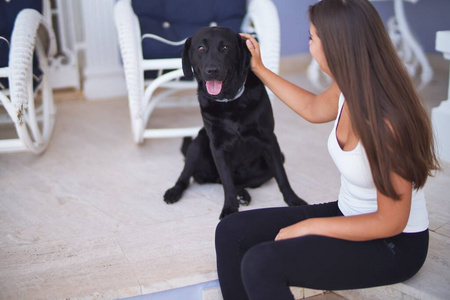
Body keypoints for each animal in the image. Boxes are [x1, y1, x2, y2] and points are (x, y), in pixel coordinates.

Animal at [163, 27, 308, 219]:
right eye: (201, 48)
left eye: (226, 47)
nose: (212, 70)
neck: (229, 102)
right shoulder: (217, 147)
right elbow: (227, 183)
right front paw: (230, 208)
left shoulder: (270, 140)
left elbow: (282, 176)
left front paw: (293, 200)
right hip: (198, 143)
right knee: (189, 177)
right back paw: (174, 192)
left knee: (233, 181)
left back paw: (243, 194)